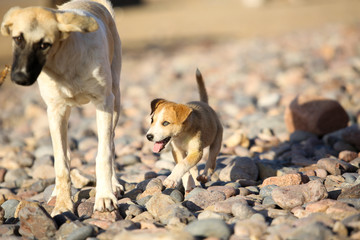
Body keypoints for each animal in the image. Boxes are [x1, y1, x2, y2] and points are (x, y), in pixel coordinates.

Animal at [0, 0, 122, 217]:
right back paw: (56, 192)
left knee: (111, 144)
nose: (20, 78)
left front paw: (105, 196)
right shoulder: (55, 111)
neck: (64, 61)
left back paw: (113, 184)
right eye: (17, 39)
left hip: (115, 100)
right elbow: (61, 163)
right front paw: (63, 204)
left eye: (44, 45)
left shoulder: (104, 103)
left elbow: (104, 154)